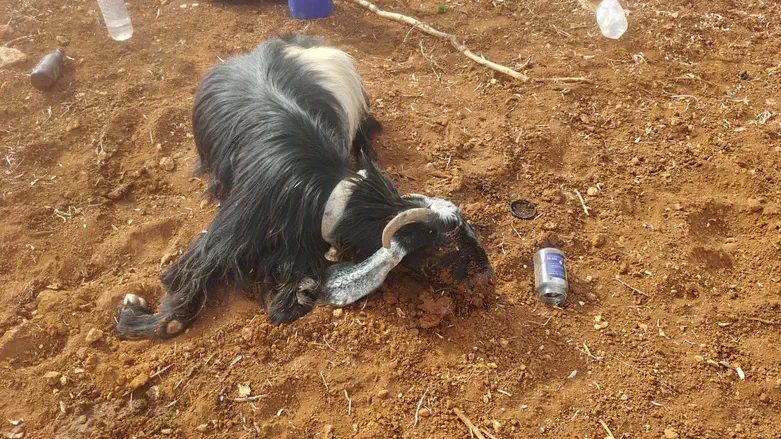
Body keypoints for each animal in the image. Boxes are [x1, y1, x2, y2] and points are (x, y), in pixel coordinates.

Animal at [115, 35, 495, 340]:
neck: (321, 194)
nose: (488, 278)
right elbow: (184, 288)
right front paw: (134, 313)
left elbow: (292, 300)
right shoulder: (225, 235)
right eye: (444, 248)